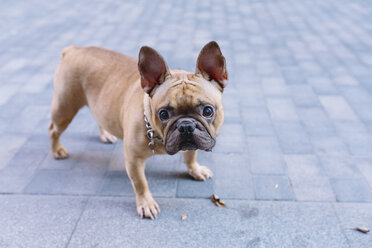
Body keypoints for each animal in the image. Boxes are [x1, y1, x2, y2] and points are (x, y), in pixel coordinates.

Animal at [48, 40, 227, 219]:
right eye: (163, 114)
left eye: (208, 111)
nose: (186, 126)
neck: (156, 134)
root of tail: (73, 50)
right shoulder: (133, 159)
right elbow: (140, 183)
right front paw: (146, 204)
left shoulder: (193, 144)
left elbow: (191, 155)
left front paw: (195, 170)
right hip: (64, 109)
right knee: (53, 130)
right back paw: (57, 150)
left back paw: (106, 134)